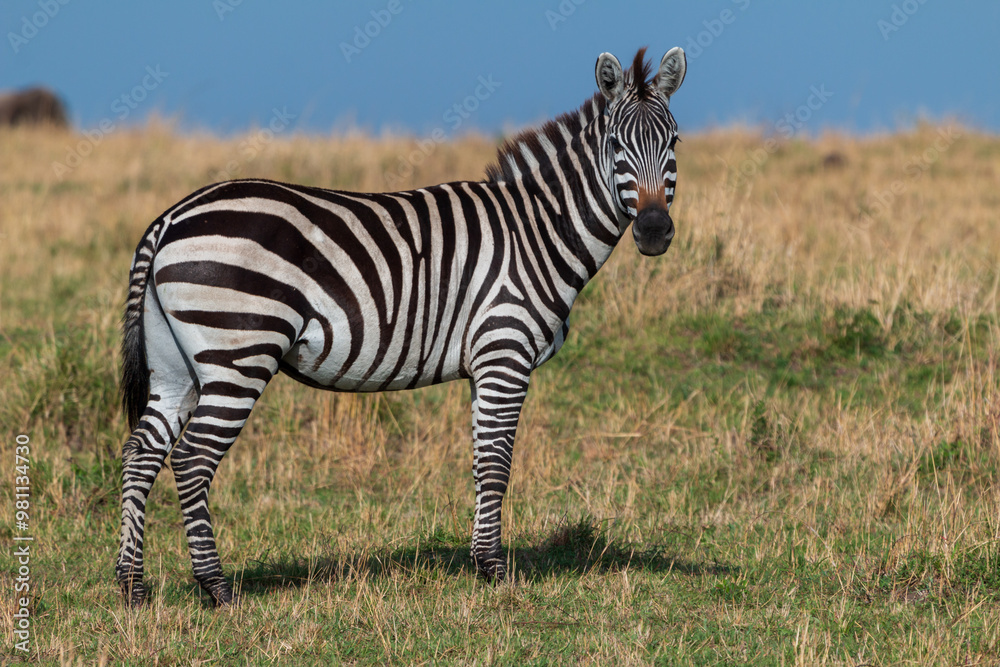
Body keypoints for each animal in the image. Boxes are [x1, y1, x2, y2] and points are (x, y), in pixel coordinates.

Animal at [116, 46, 686, 606]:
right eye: (616, 145)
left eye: (674, 142)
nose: (654, 231)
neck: (537, 232)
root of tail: (170, 218)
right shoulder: (505, 353)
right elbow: (497, 465)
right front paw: (497, 573)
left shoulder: (485, 365)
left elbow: (480, 463)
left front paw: (481, 563)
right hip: (237, 355)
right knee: (192, 459)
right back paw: (215, 588)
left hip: (175, 367)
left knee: (141, 454)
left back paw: (131, 587)